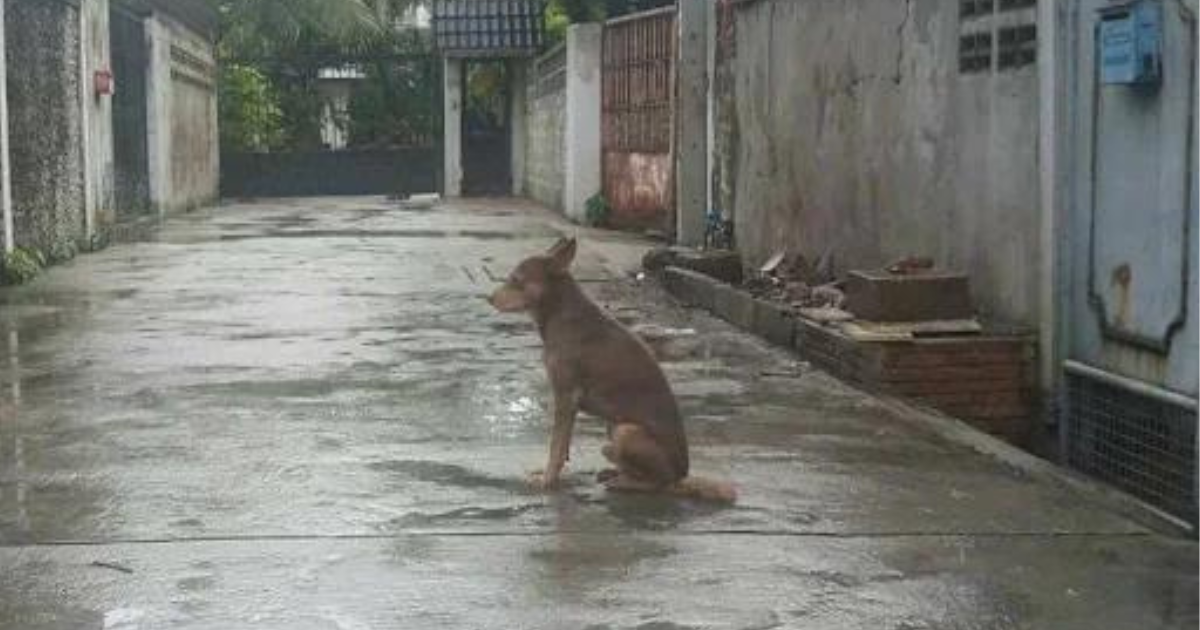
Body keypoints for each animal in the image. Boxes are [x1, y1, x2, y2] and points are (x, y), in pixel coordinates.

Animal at [489, 235, 734, 501]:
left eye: (516, 279)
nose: (489, 298)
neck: (558, 311)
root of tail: (682, 476)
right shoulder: (569, 403)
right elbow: (563, 445)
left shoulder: (565, 396)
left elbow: (556, 445)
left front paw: (547, 480)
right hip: (612, 426)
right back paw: (613, 473)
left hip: (625, 431)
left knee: (658, 484)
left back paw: (622, 482)